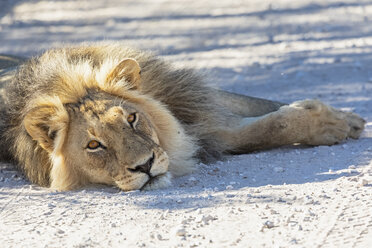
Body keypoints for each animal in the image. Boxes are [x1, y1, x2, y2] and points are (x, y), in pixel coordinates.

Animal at [0, 43, 366, 192]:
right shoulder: (207, 130)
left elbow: (261, 105)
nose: (145, 166)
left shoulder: (189, 98)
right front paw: (331, 123)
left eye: (131, 119)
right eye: (94, 145)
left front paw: (345, 118)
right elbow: (269, 126)